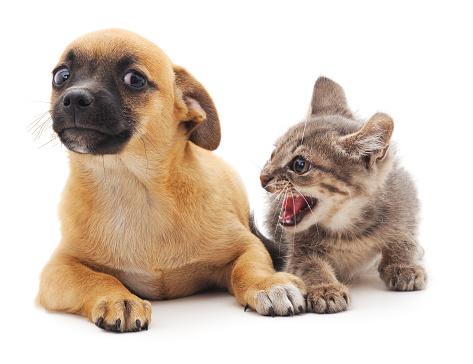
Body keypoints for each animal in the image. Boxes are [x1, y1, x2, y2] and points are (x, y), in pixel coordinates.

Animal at [35, 28, 304, 332]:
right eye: (61, 76)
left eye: (135, 79)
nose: (74, 98)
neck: (135, 188)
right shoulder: (58, 268)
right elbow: (96, 278)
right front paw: (118, 298)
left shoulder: (247, 246)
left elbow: (249, 268)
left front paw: (267, 284)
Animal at [258, 77, 428, 312]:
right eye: (273, 153)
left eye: (300, 165)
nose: (262, 177)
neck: (347, 229)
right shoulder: (297, 252)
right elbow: (310, 266)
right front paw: (326, 288)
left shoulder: (404, 199)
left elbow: (403, 237)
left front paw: (404, 265)